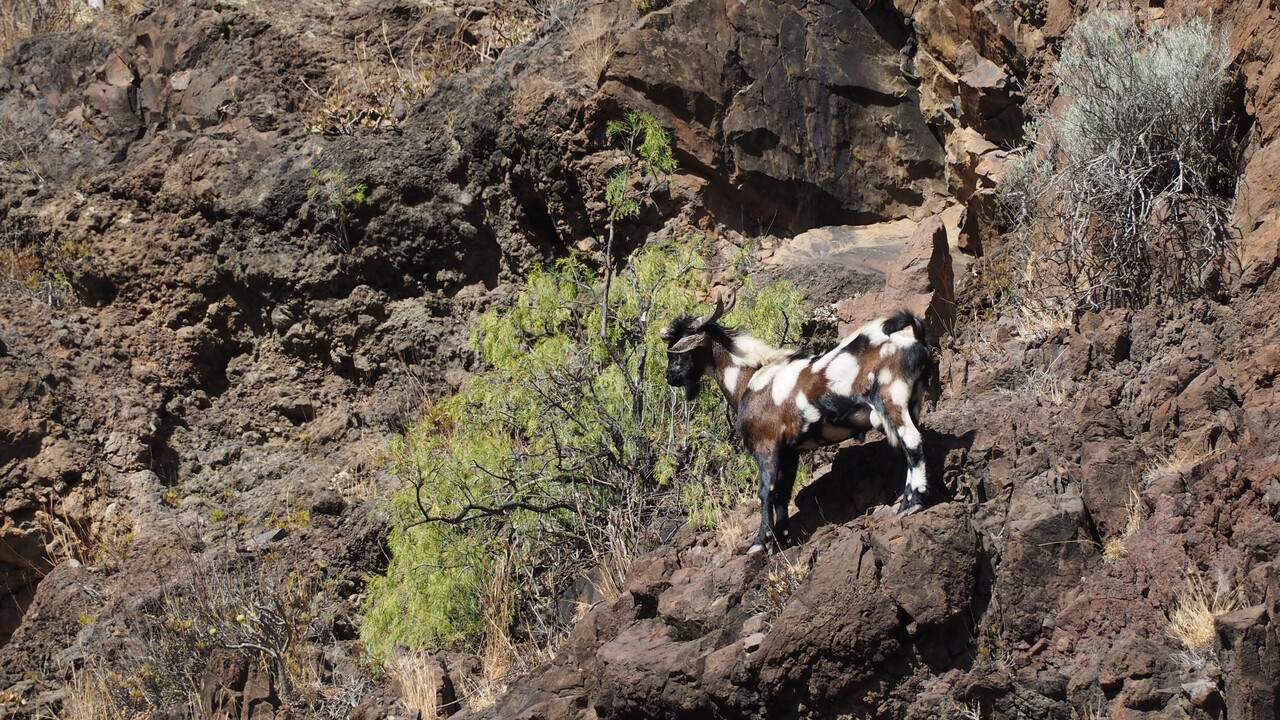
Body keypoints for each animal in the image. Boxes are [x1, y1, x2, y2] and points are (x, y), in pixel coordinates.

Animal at [661, 294, 934, 554]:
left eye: (675, 351)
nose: (670, 376)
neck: (749, 380)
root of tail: (912, 335)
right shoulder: (790, 451)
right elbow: (783, 491)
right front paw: (782, 539)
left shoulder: (766, 444)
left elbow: (766, 491)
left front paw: (759, 543)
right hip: (914, 401)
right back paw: (908, 501)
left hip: (891, 398)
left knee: (912, 441)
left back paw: (912, 504)